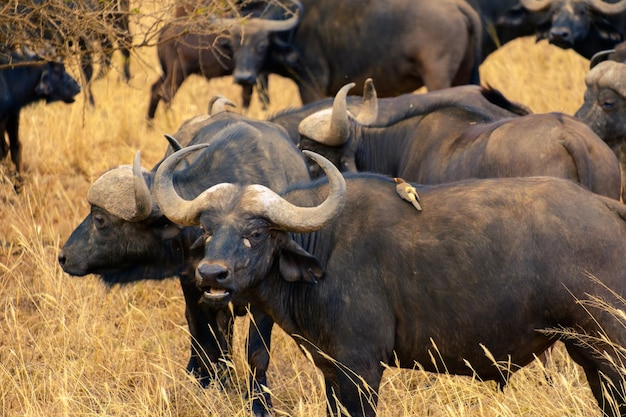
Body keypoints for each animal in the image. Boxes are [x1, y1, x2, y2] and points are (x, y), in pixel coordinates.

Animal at [59, 110, 308, 416]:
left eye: (100, 219)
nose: (64, 256)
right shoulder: (192, 284)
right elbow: (205, 339)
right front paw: (211, 385)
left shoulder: (263, 300)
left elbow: (257, 352)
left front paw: (260, 402)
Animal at [151, 148, 624, 414]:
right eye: (208, 229)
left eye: (256, 232)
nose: (211, 273)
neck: (325, 248)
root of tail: (608, 209)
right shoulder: (332, 370)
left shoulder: (361, 369)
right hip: (588, 356)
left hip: (610, 352)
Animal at [217, 0, 480, 105]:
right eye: (233, 45)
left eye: (261, 45)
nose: (243, 77)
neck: (292, 30)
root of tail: (458, 6)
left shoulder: (311, 85)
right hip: (464, 73)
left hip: (437, 77)